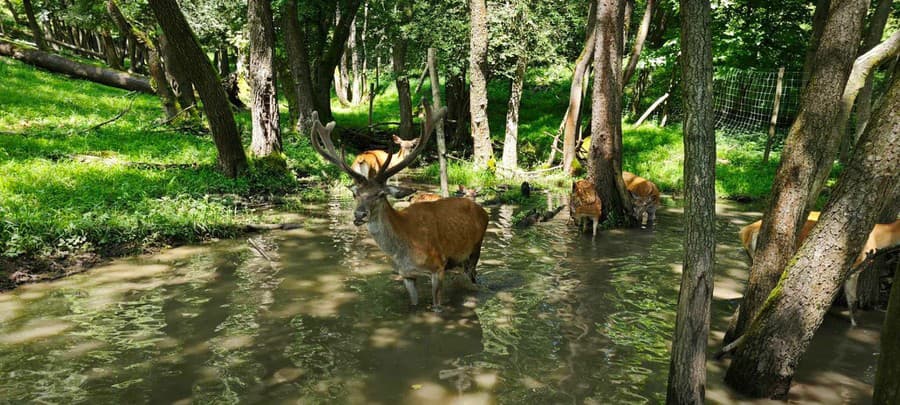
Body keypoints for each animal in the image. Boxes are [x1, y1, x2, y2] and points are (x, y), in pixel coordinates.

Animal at [312, 102, 492, 310]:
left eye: (380, 194)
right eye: (355, 194)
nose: (359, 215)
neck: (403, 250)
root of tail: (482, 211)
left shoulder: (437, 266)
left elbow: (437, 306)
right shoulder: (406, 274)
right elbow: (413, 303)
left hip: (475, 249)